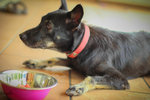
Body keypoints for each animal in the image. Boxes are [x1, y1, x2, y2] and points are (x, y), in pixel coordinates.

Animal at [19, 0, 150, 96]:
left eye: (48, 25)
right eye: (41, 22)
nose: (20, 36)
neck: (84, 45)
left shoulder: (120, 78)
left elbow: (92, 78)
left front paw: (79, 87)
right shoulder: (73, 62)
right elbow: (54, 58)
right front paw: (36, 62)